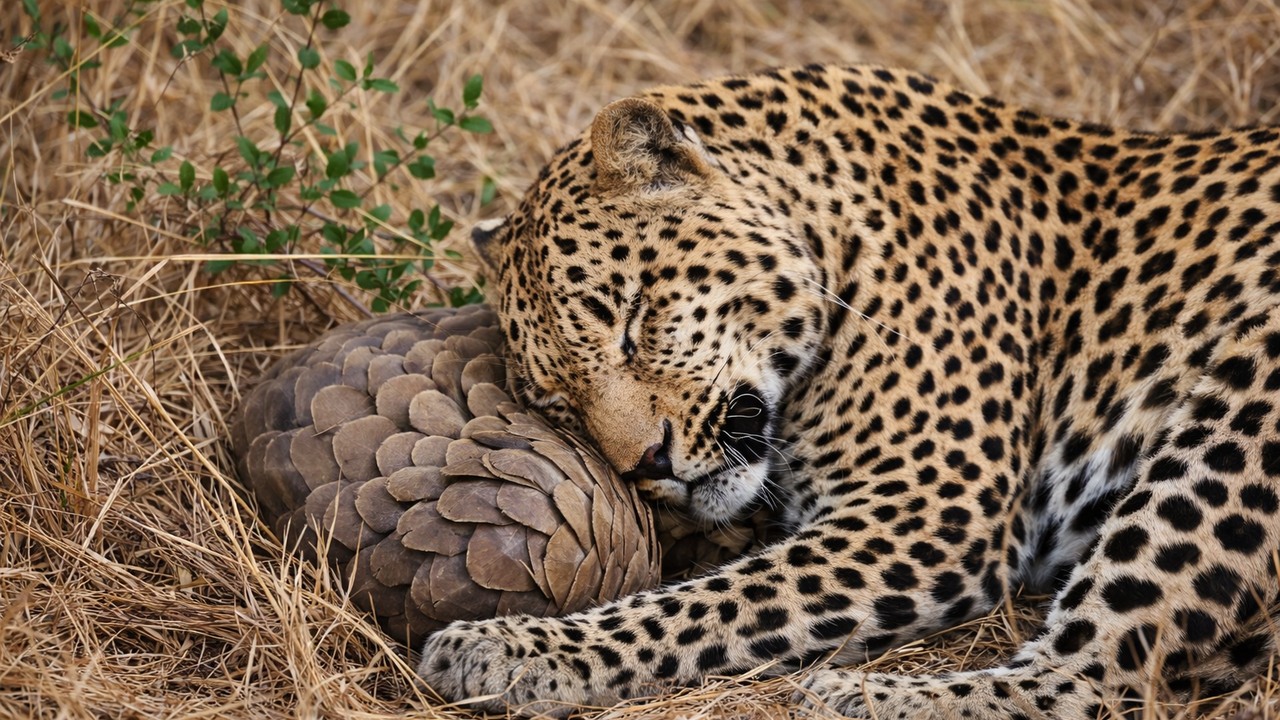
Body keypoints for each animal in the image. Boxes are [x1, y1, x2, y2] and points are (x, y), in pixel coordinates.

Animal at [416, 64, 1280, 719]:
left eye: (632, 317)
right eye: (559, 404)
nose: (646, 467)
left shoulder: (924, 508)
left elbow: (712, 604)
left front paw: (511, 647)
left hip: (1245, 407)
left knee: (1092, 681)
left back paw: (852, 698)